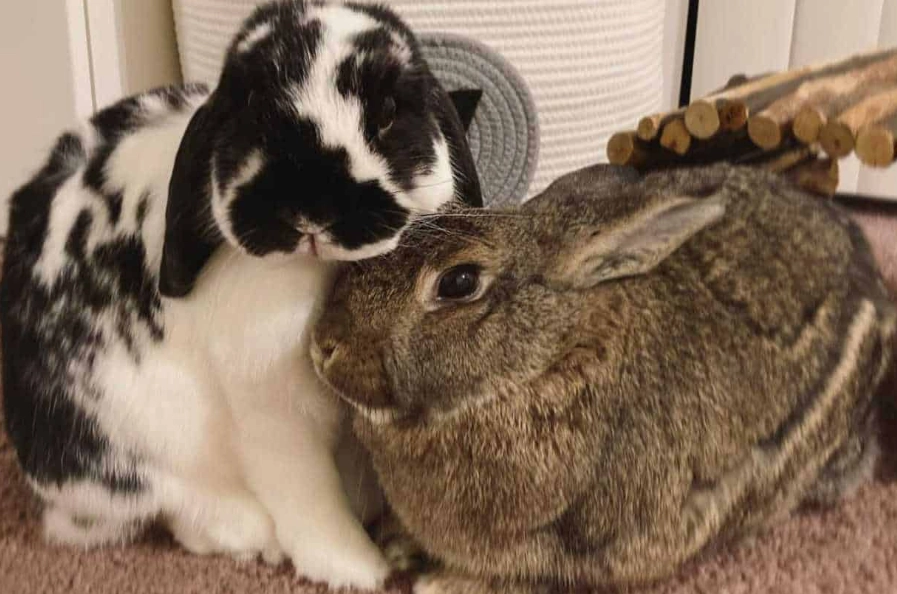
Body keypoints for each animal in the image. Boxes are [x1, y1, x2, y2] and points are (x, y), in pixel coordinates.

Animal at [0, 0, 482, 590]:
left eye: (389, 110)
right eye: (252, 108)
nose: (311, 207)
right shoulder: (274, 415)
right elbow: (310, 497)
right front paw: (356, 568)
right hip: (138, 452)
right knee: (184, 512)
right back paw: (254, 539)